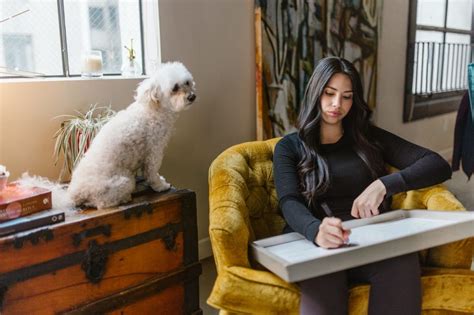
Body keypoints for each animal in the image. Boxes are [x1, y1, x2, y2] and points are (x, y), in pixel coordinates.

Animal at [67, 61, 195, 210]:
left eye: (187, 82)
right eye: (174, 88)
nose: (192, 96)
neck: (154, 109)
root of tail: (75, 194)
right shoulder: (154, 150)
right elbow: (152, 172)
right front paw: (160, 186)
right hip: (124, 181)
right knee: (102, 203)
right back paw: (124, 198)